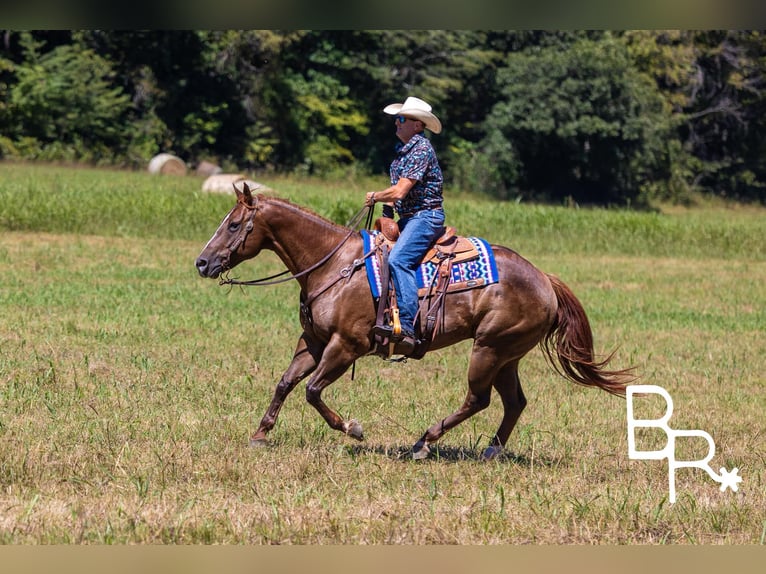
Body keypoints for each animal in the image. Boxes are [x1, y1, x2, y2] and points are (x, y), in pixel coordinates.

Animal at [195, 184, 635, 460]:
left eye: (233, 225)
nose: (201, 262)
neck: (333, 264)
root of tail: (545, 279)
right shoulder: (314, 341)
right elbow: (286, 383)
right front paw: (260, 434)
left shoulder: (346, 346)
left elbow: (313, 391)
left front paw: (352, 428)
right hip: (508, 355)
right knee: (514, 402)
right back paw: (491, 450)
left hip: (489, 349)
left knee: (479, 399)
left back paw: (424, 442)